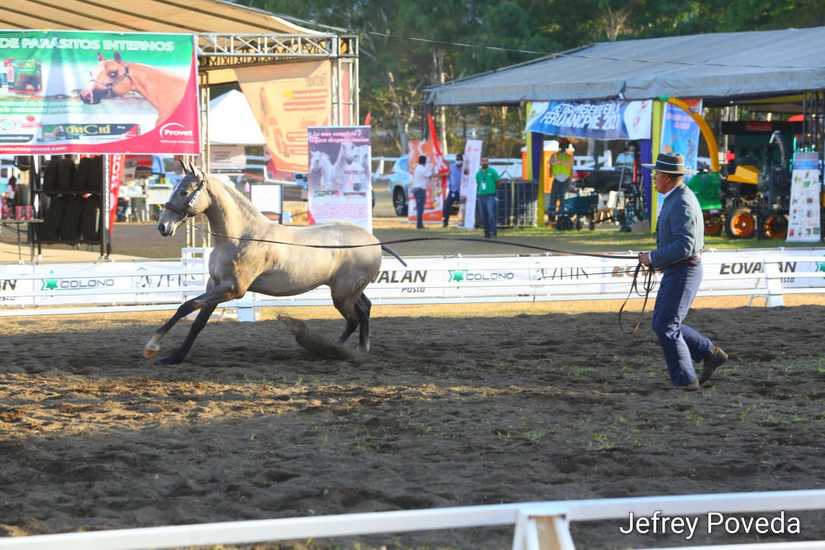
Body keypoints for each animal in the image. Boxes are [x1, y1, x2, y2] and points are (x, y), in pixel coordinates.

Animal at [144, 162, 386, 365]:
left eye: (184, 192)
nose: (163, 227)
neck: (240, 237)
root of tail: (373, 241)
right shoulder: (215, 285)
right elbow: (197, 322)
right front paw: (174, 357)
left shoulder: (232, 289)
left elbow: (187, 306)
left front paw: (153, 346)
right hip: (348, 291)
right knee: (364, 309)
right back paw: (353, 349)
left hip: (342, 295)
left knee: (354, 318)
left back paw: (339, 351)